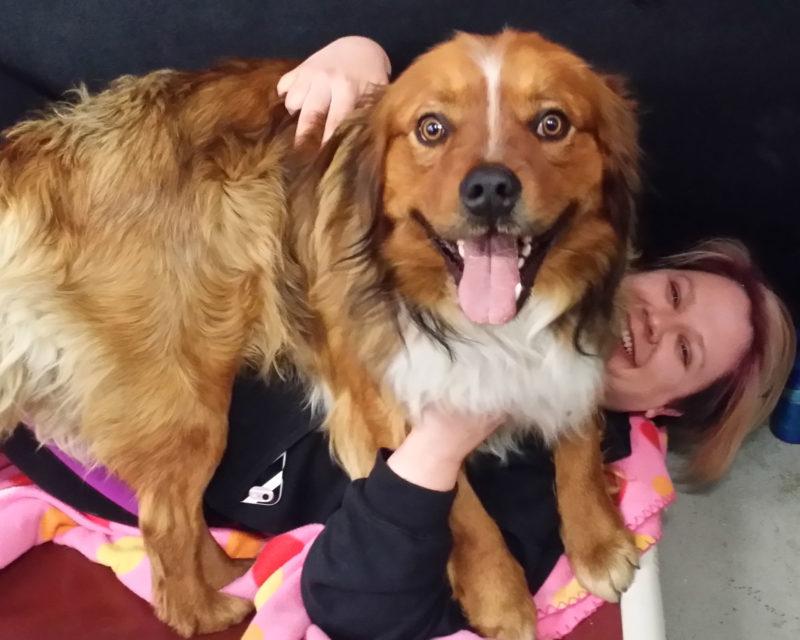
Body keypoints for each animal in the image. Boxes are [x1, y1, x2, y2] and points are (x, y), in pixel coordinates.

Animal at [0, 31, 636, 640]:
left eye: (552, 123)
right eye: (432, 128)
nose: (490, 189)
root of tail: (48, 144)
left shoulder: (575, 352)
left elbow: (579, 438)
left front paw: (598, 541)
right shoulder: (379, 410)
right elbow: (460, 505)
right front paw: (498, 595)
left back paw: (230, 571)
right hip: (184, 389)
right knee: (164, 521)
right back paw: (207, 609)